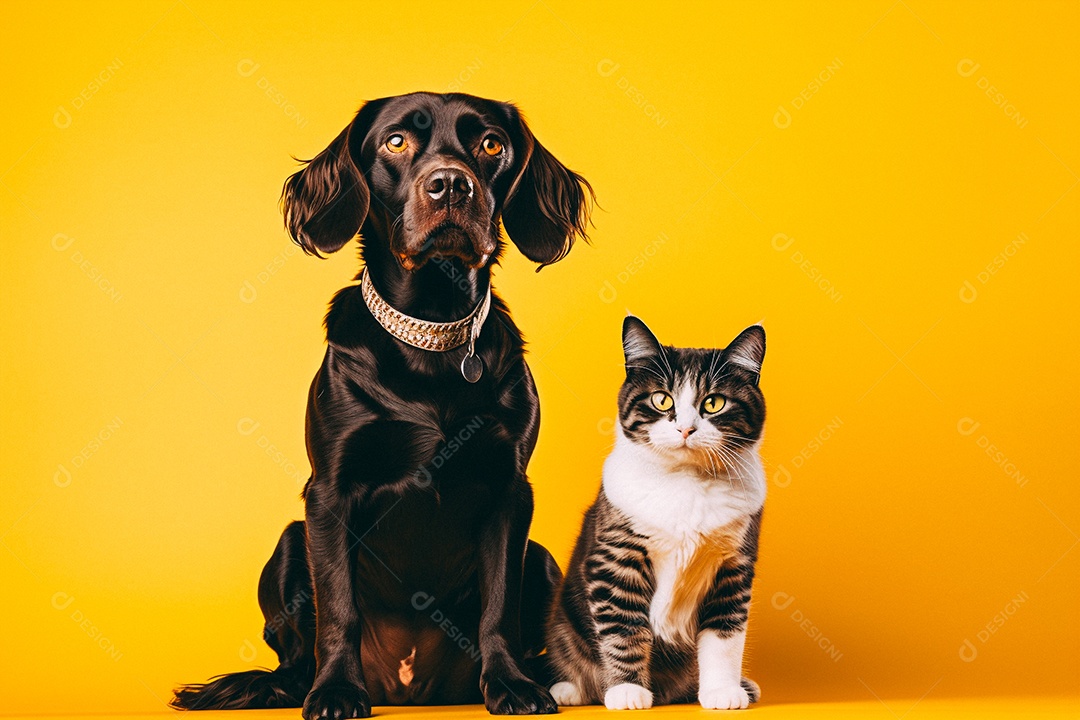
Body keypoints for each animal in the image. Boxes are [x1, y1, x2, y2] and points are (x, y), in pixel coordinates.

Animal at [170, 92, 591, 716]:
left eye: (491, 144)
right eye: (396, 141)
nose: (451, 185)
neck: (434, 335)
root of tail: (410, 685)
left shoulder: (510, 491)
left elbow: (499, 607)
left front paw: (513, 685)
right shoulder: (329, 491)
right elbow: (337, 609)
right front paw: (337, 690)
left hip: (539, 556)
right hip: (290, 541)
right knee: (295, 658)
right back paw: (287, 684)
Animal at [548, 317, 768, 708]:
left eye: (714, 403)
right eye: (661, 399)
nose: (685, 428)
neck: (686, 481)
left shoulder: (734, 564)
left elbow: (725, 635)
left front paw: (722, 691)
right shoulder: (617, 556)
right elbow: (623, 627)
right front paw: (627, 690)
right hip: (564, 622)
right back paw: (569, 689)